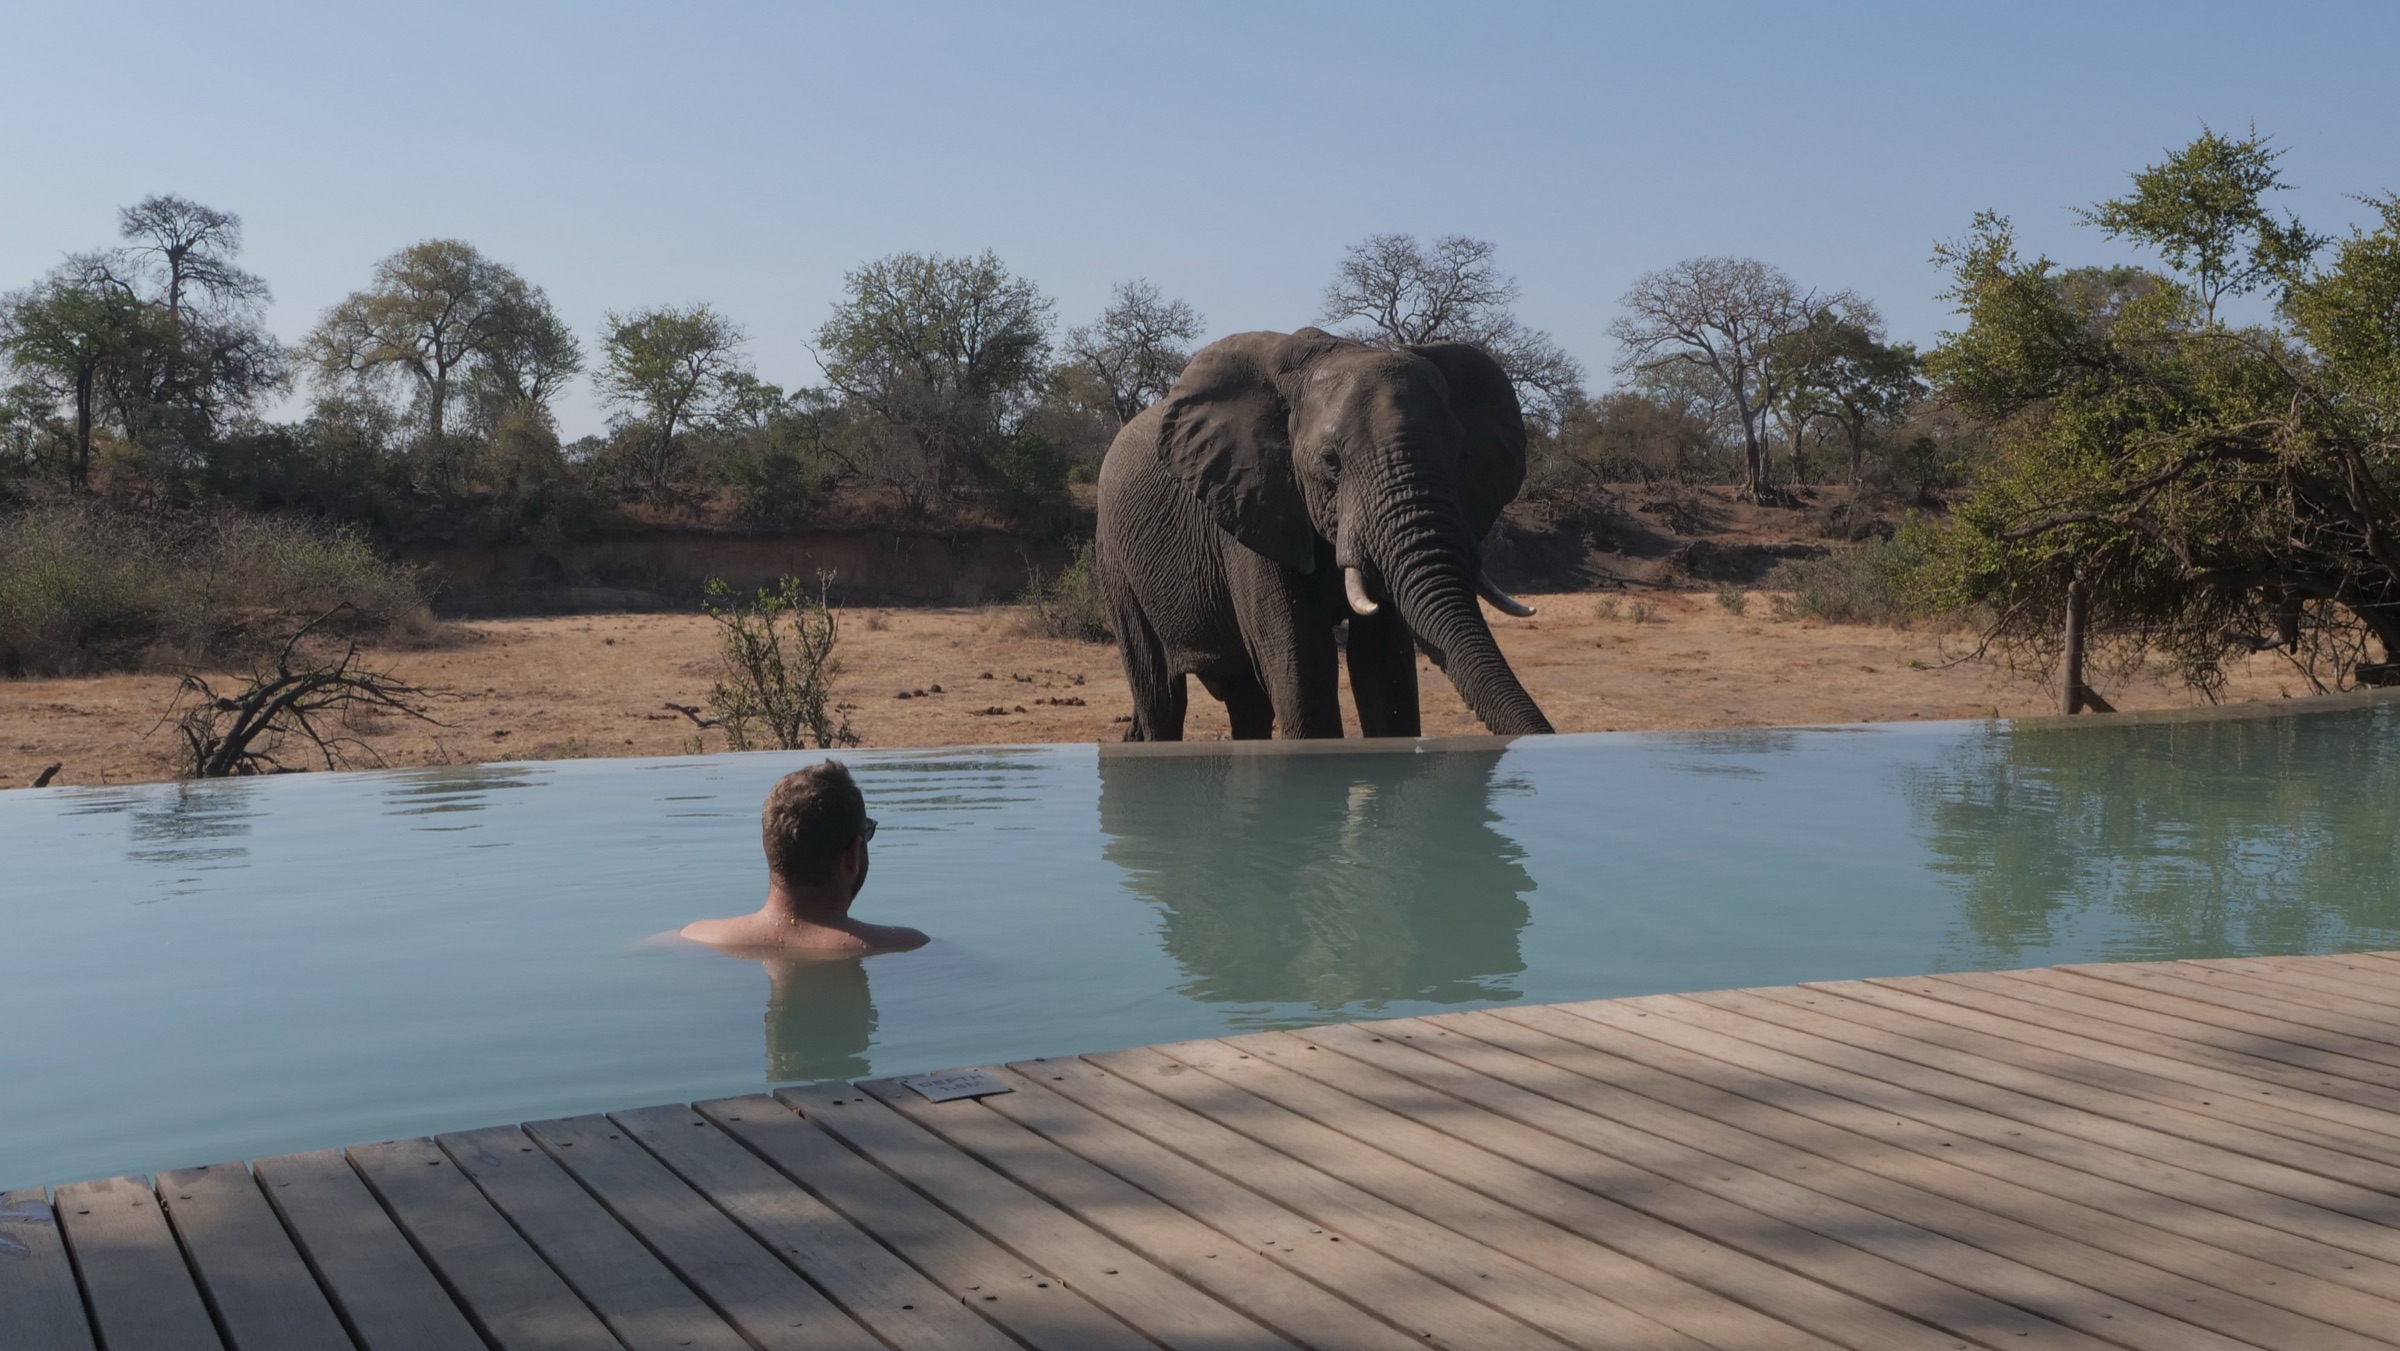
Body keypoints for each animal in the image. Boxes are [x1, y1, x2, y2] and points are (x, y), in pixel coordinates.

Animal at [1095, 328, 1552, 740]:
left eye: (1459, 455)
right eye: (1332, 462)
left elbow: (1383, 664)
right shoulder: (1249, 505)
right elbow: (1301, 660)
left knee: (1247, 703)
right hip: (1115, 560)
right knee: (1161, 698)